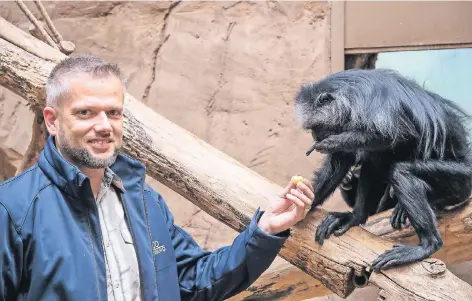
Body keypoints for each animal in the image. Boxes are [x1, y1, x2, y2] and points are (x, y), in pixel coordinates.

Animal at [296, 68, 472, 270]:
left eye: (315, 127)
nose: (315, 136)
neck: (348, 97)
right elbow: (342, 162)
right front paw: (304, 204)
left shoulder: (371, 106)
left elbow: (397, 134)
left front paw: (330, 143)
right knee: (375, 159)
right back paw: (357, 216)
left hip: (461, 179)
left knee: (401, 171)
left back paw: (428, 244)